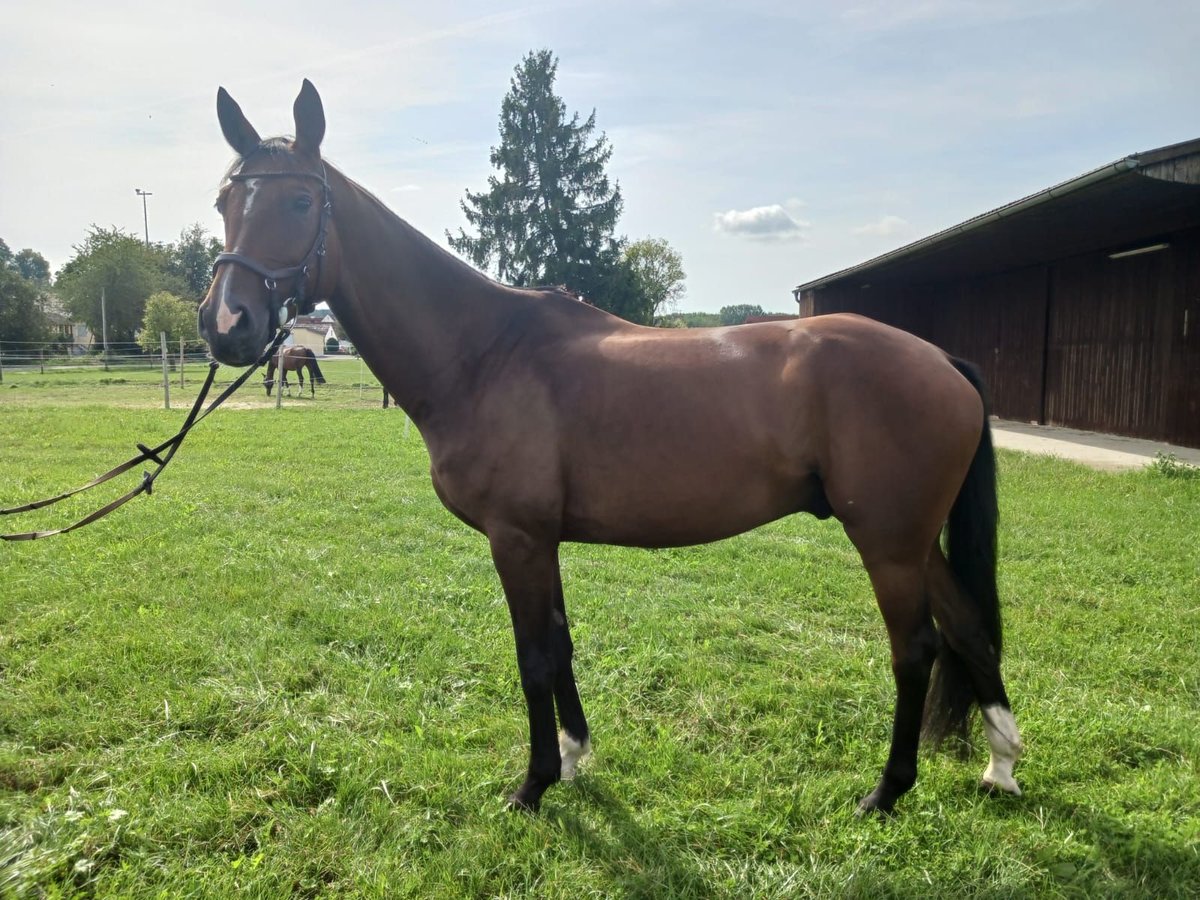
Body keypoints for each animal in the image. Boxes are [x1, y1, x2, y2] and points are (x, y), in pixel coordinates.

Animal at [196, 84, 1022, 816]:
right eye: (225, 203)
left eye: (300, 202)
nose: (228, 324)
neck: (485, 351)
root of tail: (941, 359)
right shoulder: (542, 540)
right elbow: (559, 646)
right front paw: (572, 756)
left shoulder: (517, 539)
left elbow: (533, 657)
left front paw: (533, 785)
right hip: (913, 541)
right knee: (969, 630)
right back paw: (1001, 765)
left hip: (887, 542)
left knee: (916, 649)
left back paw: (886, 791)